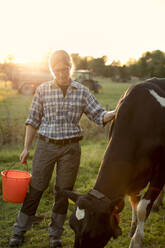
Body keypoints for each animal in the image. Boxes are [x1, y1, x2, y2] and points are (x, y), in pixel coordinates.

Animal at [63, 78, 165, 248]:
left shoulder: (160, 169)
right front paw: (133, 229)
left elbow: (142, 208)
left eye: (92, 232)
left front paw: (136, 240)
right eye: (72, 226)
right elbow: (135, 201)